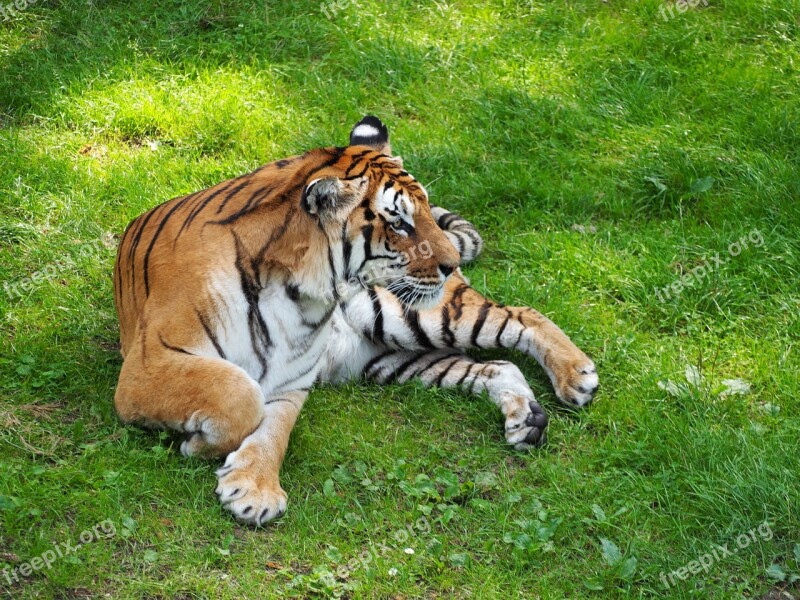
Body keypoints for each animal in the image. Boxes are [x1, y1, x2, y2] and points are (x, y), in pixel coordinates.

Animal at [114, 116, 600, 524]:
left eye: (426, 211)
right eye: (400, 223)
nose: (450, 262)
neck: (296, 294)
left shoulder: (291, 380)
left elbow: (271, 429)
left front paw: (250, 486)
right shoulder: (148, 365)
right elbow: (240, 393)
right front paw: (214, 456)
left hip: (412, 317)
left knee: (522, 315)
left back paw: (576, 378)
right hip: (391, 357)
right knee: (500, 364)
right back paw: (528, 419)